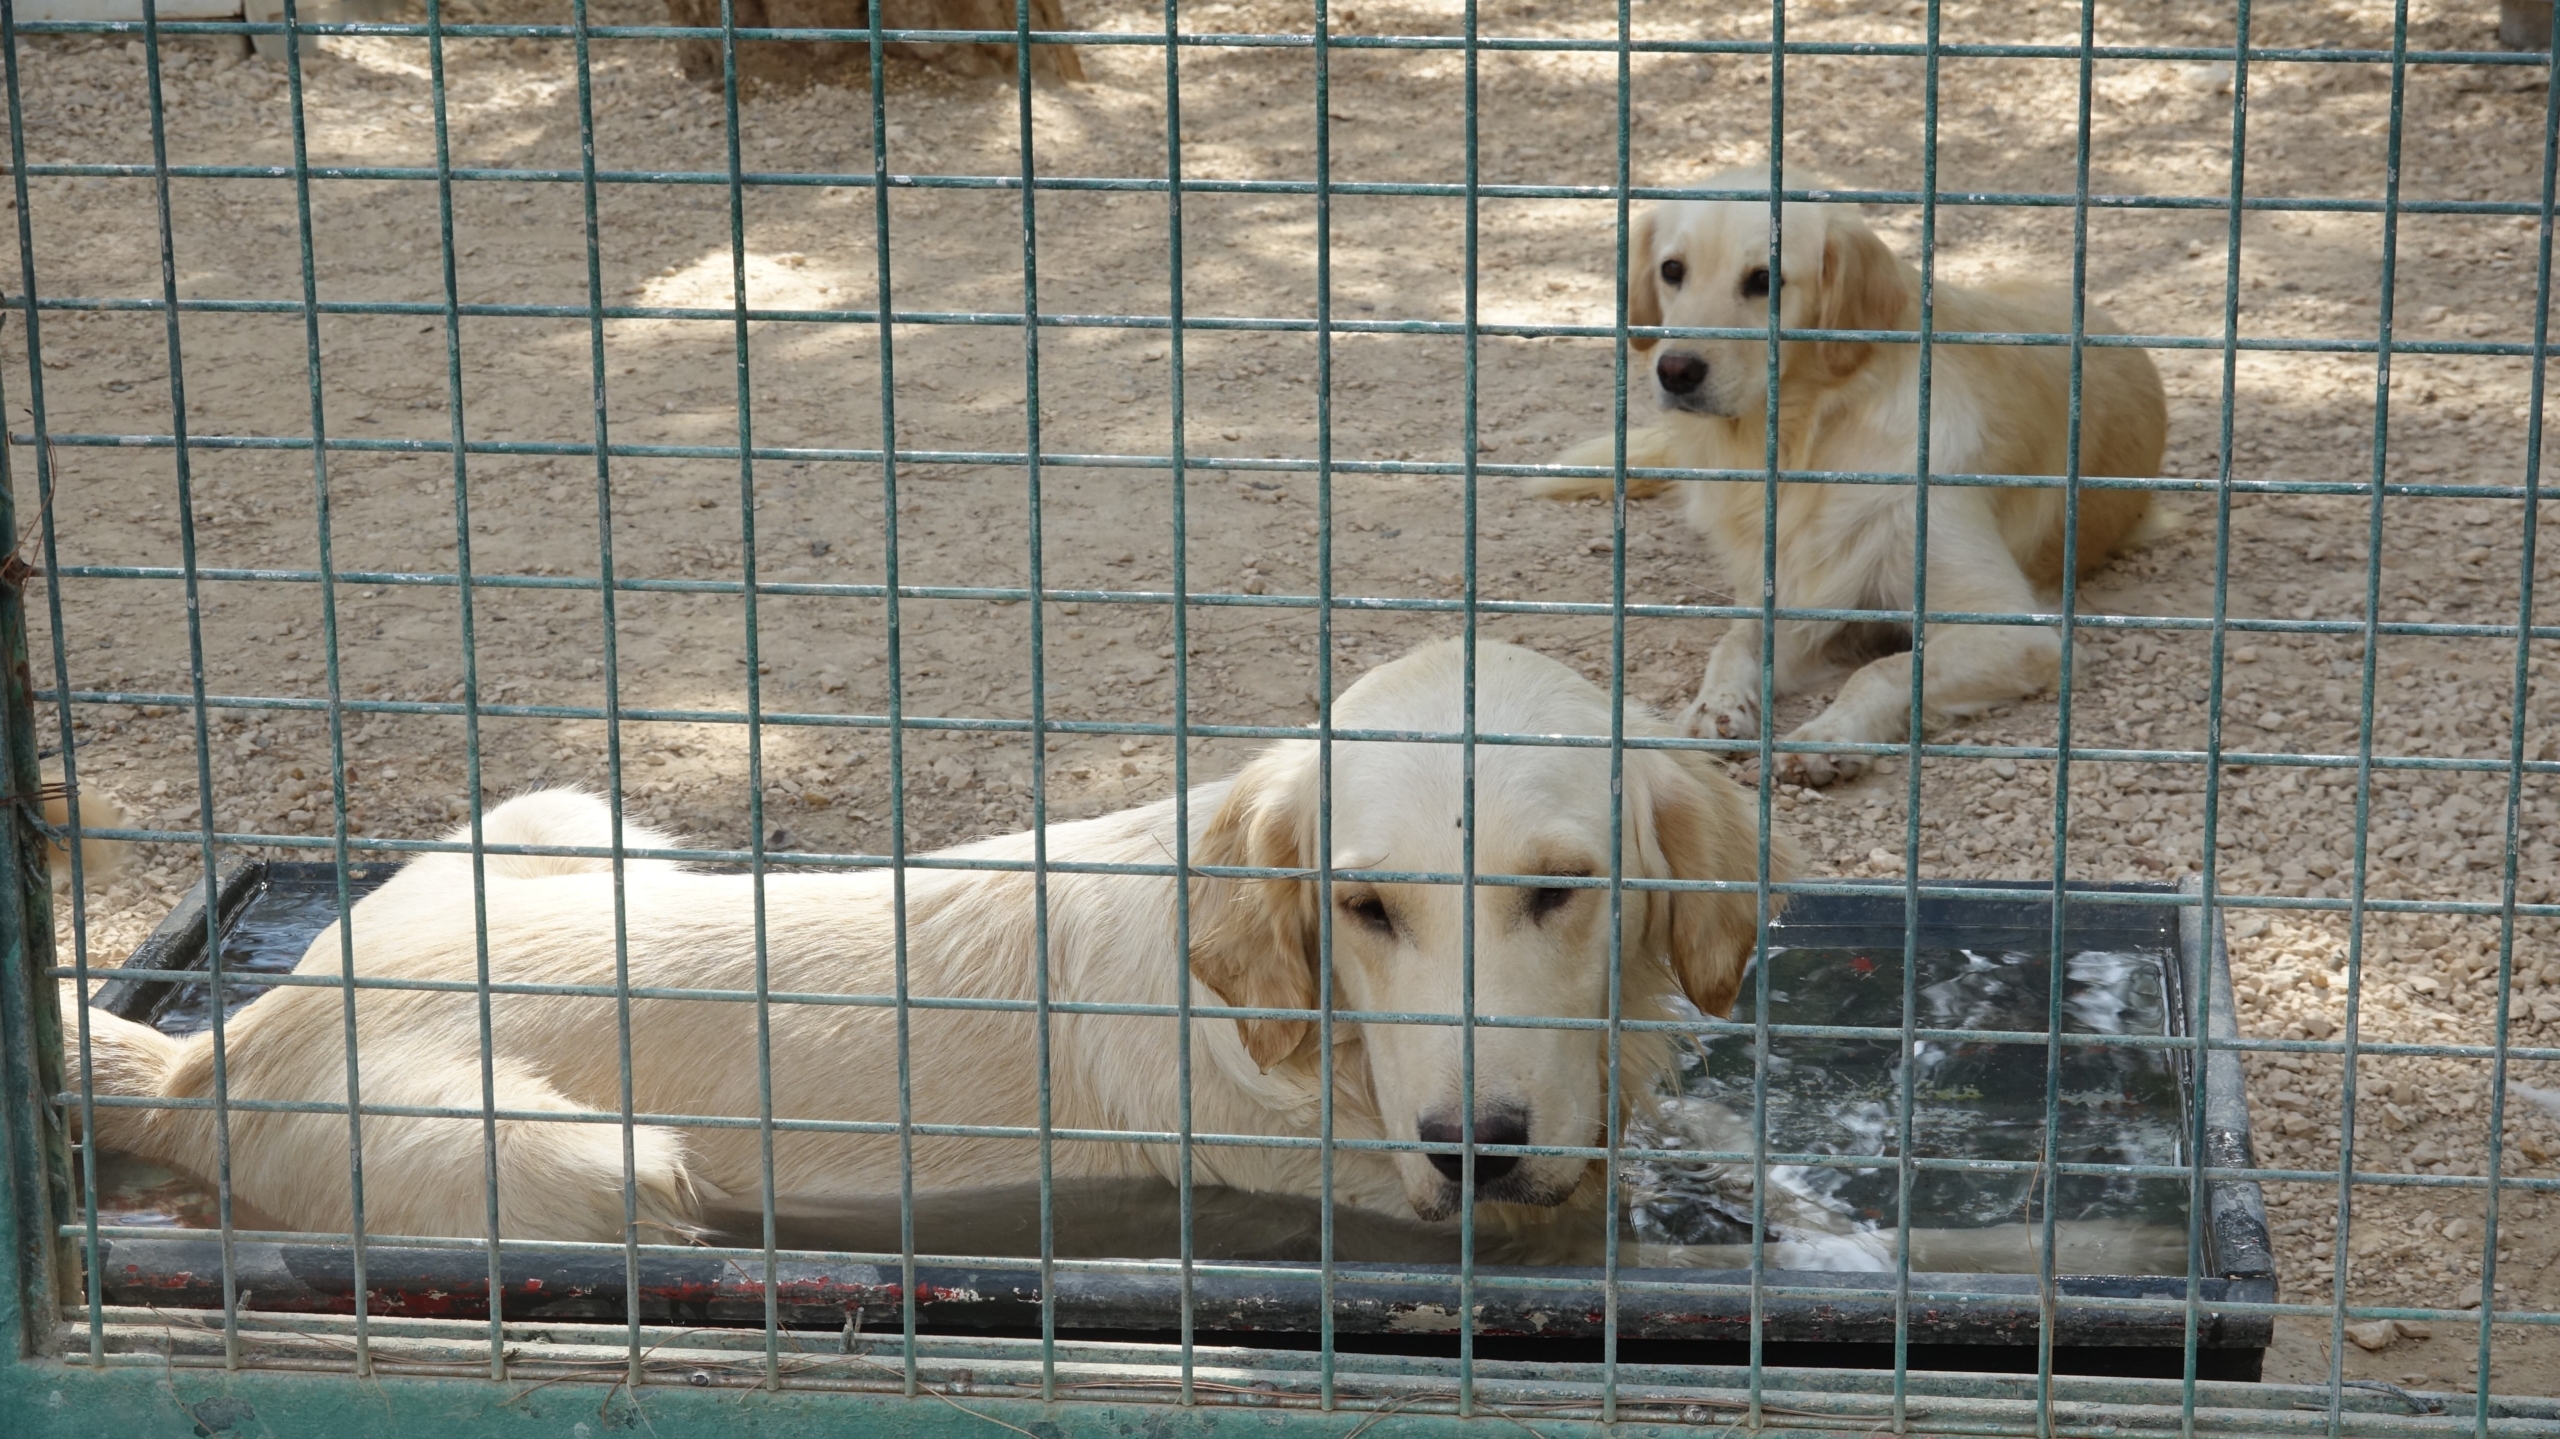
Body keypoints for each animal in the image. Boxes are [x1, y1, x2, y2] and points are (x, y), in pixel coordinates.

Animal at [1525, 170, 2170, 783]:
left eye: (1765, 280)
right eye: (1672, 270)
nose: (1675, 370)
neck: (1808, 439)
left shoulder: (2021, 632)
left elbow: (1886, 671)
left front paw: (1827, 739)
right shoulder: (1796, 593)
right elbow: (1733, 642)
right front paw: (1720, 706)